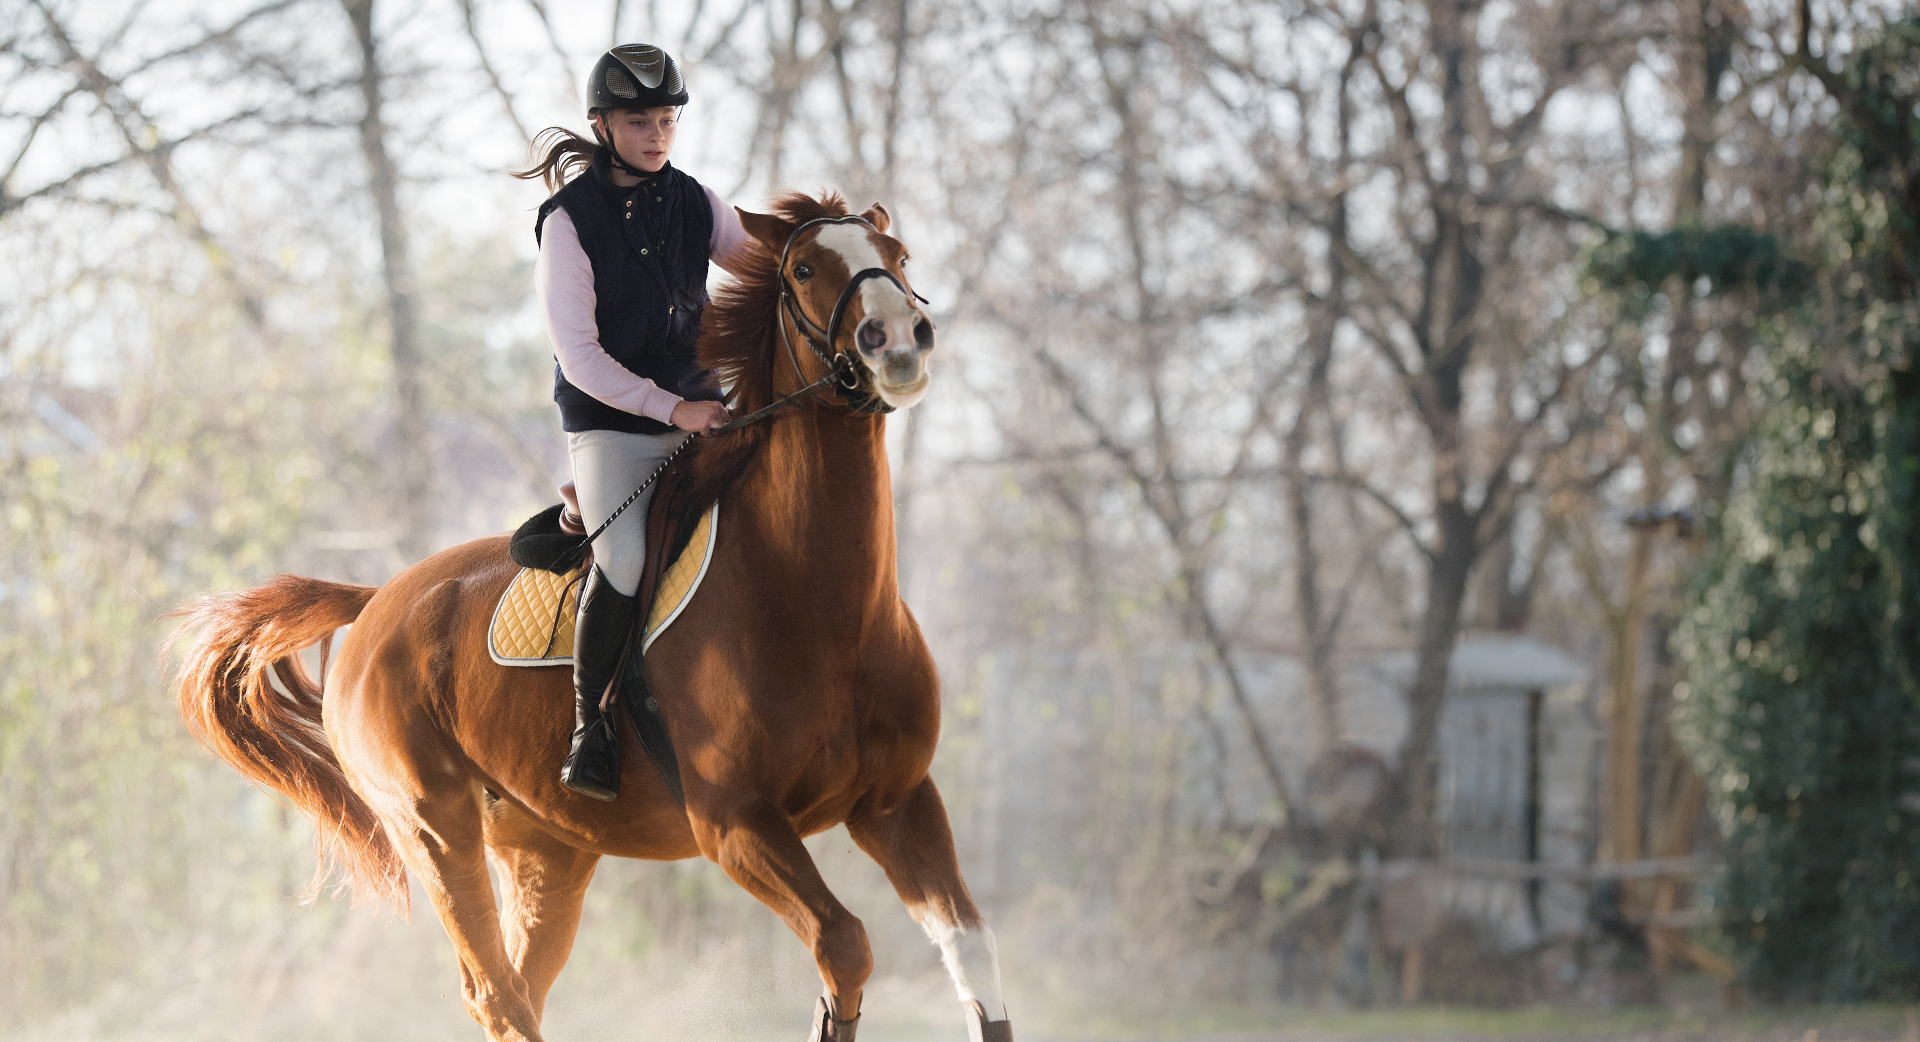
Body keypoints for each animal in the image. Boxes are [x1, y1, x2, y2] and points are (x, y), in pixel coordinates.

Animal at [172, 193, 1013, 1042]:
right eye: (805, 269)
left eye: (897, 256)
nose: (897, 340)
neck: (827, 608)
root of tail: (375, 602)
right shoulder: (736, 825)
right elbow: (845, 947)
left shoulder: (897, 803)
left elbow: (971, 950)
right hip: (436, 830)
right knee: (497, 992)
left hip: (546, 849)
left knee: (520, 985)